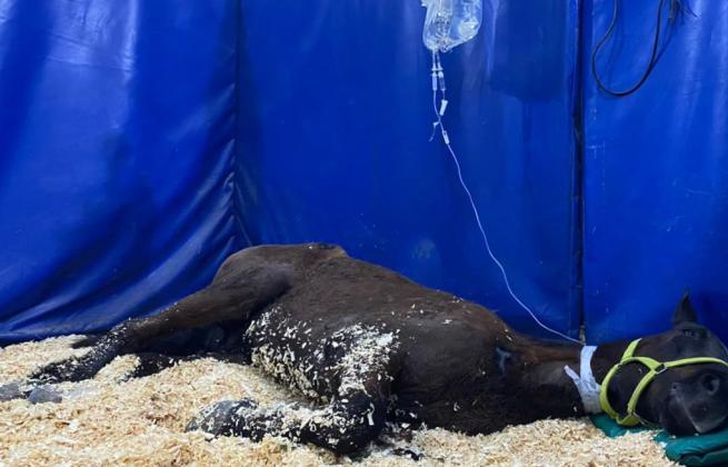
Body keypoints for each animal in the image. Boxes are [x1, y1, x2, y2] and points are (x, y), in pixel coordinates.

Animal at [2, 243, 728, 455]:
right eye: (691, 336)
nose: (711, 403)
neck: (511, 365)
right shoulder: (369, 351)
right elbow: (348, 424)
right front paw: (222, 415)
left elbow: (368, 431)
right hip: (239, 289)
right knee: (131, 328)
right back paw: (50, 371)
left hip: (224, 335)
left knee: (160, 349)